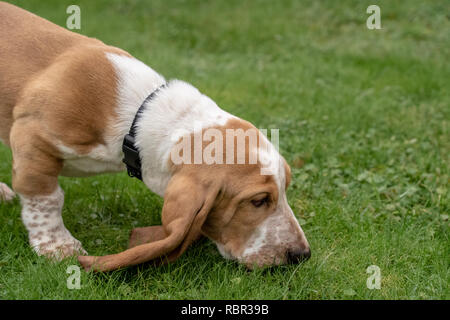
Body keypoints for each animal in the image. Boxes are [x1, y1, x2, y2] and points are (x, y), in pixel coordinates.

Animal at [0, 3, 310, 272]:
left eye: (285, 188)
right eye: (258, 201)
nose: (302, 255)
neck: (138, 117)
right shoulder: (32, 136)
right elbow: (46, 197)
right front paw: (58, 246)